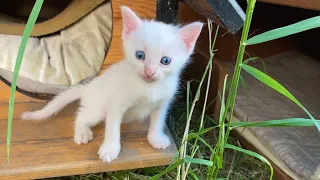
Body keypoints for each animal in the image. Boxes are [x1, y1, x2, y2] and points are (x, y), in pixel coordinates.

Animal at [20, 6, 202, 162]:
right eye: (140, 55)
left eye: (165, 61)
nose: (149, 72)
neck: (148, 87)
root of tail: (89, 87)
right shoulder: (116, 105)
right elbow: (112, 129)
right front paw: (110, 149)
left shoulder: (162, 104)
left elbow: (157, 122)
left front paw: (155, 139)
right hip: (98, 109)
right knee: (81, 115)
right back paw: (82, 132)